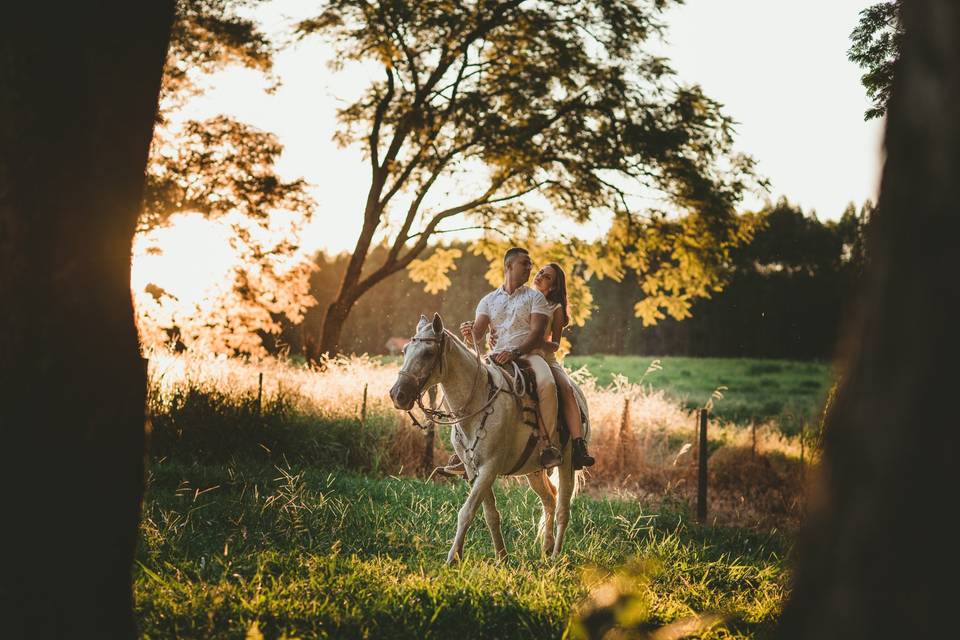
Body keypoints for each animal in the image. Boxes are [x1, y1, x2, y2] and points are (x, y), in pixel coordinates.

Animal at [388, 312, 584, 564]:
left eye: (428, 353)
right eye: (404, 351)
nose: (398, 395)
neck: (478, 402)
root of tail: (576, 393)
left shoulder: (489, 468)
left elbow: (467, 511)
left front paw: (452, 559)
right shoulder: (473, 470)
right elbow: (490, 514)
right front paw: (501, 557)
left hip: (567, 463)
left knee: (562, 510)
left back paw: (556, 557)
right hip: (534, 470)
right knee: (549, 498)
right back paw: (547, 548)